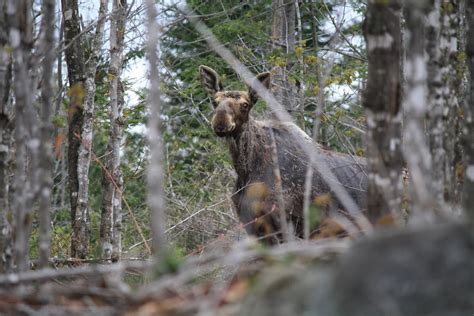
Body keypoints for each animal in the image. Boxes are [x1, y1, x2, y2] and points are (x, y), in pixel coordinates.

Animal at [198, 65, 368, 244]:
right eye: (214, 101)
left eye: (245, 104)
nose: (220, 121)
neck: (246, 170)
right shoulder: (254, 226)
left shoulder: (285, 224)